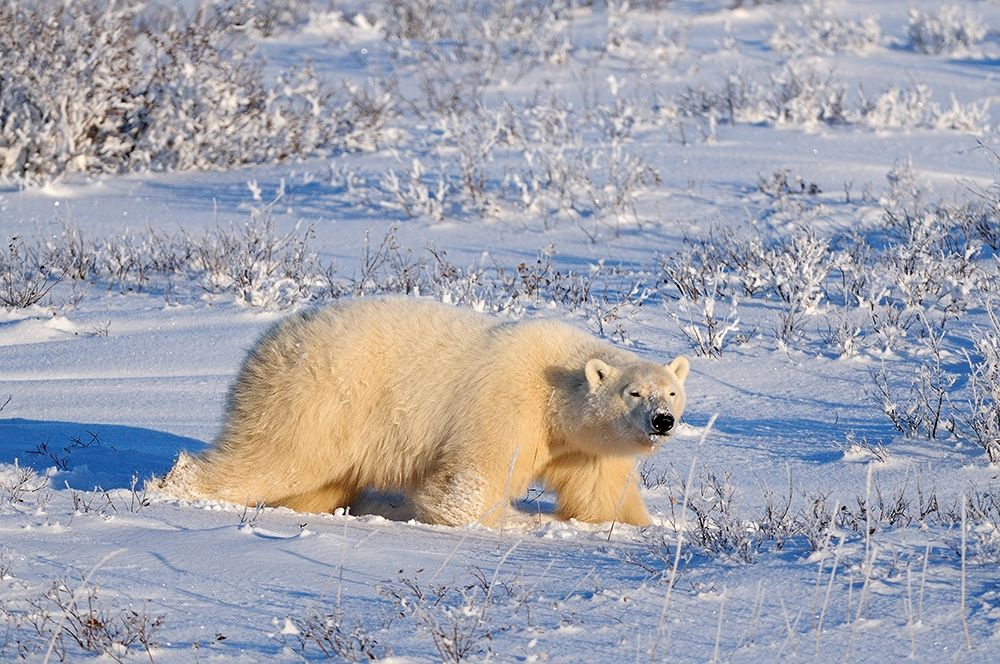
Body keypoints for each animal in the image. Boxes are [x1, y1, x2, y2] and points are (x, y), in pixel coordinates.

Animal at [160, 297, 690, 528]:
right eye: (633, 393)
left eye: (671, 392)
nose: (662, 422)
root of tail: (268, 345)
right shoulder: (506, 405)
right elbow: (470, 485)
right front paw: (521, 523)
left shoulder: (584, 446)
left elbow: (600, 490)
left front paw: (642, 526)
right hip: (319, 398)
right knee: (275, 457)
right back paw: (179, 489)